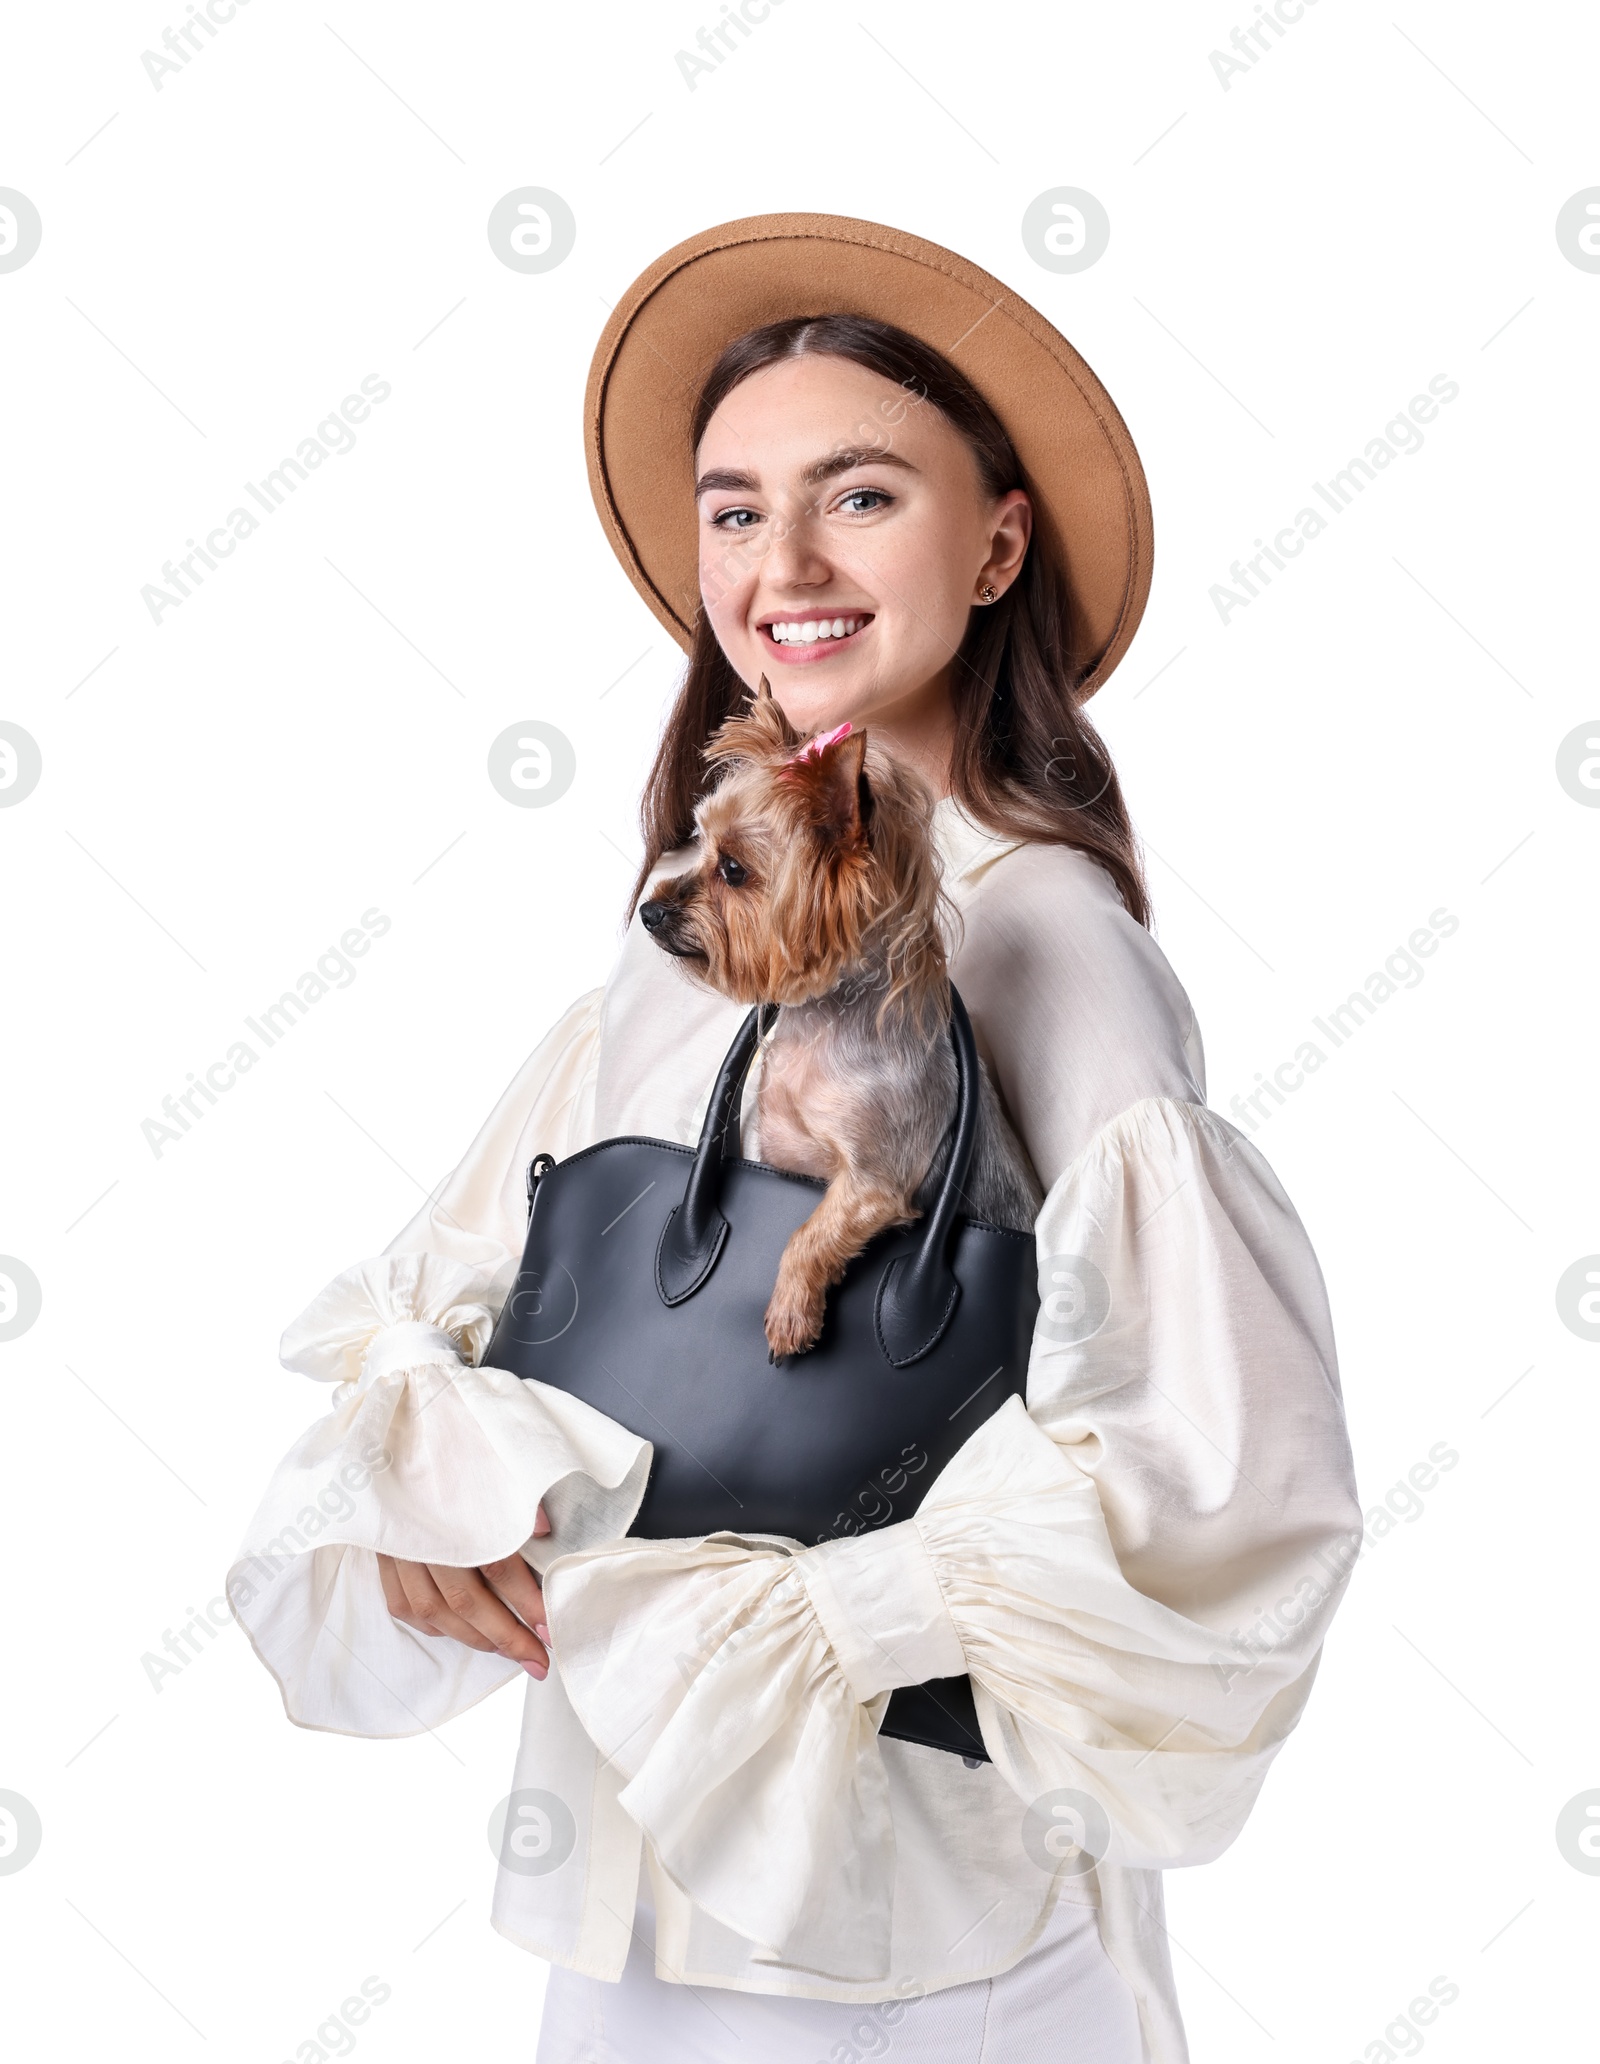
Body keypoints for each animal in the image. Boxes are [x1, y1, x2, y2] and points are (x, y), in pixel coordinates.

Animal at [644, 676, 1044, 1362]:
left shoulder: (875, 1183)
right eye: (698, 845)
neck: (823, 1018)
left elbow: (811, 1233)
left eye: (733, 870)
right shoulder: (777, 1154)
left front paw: (790, 1312)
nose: (649, 911)